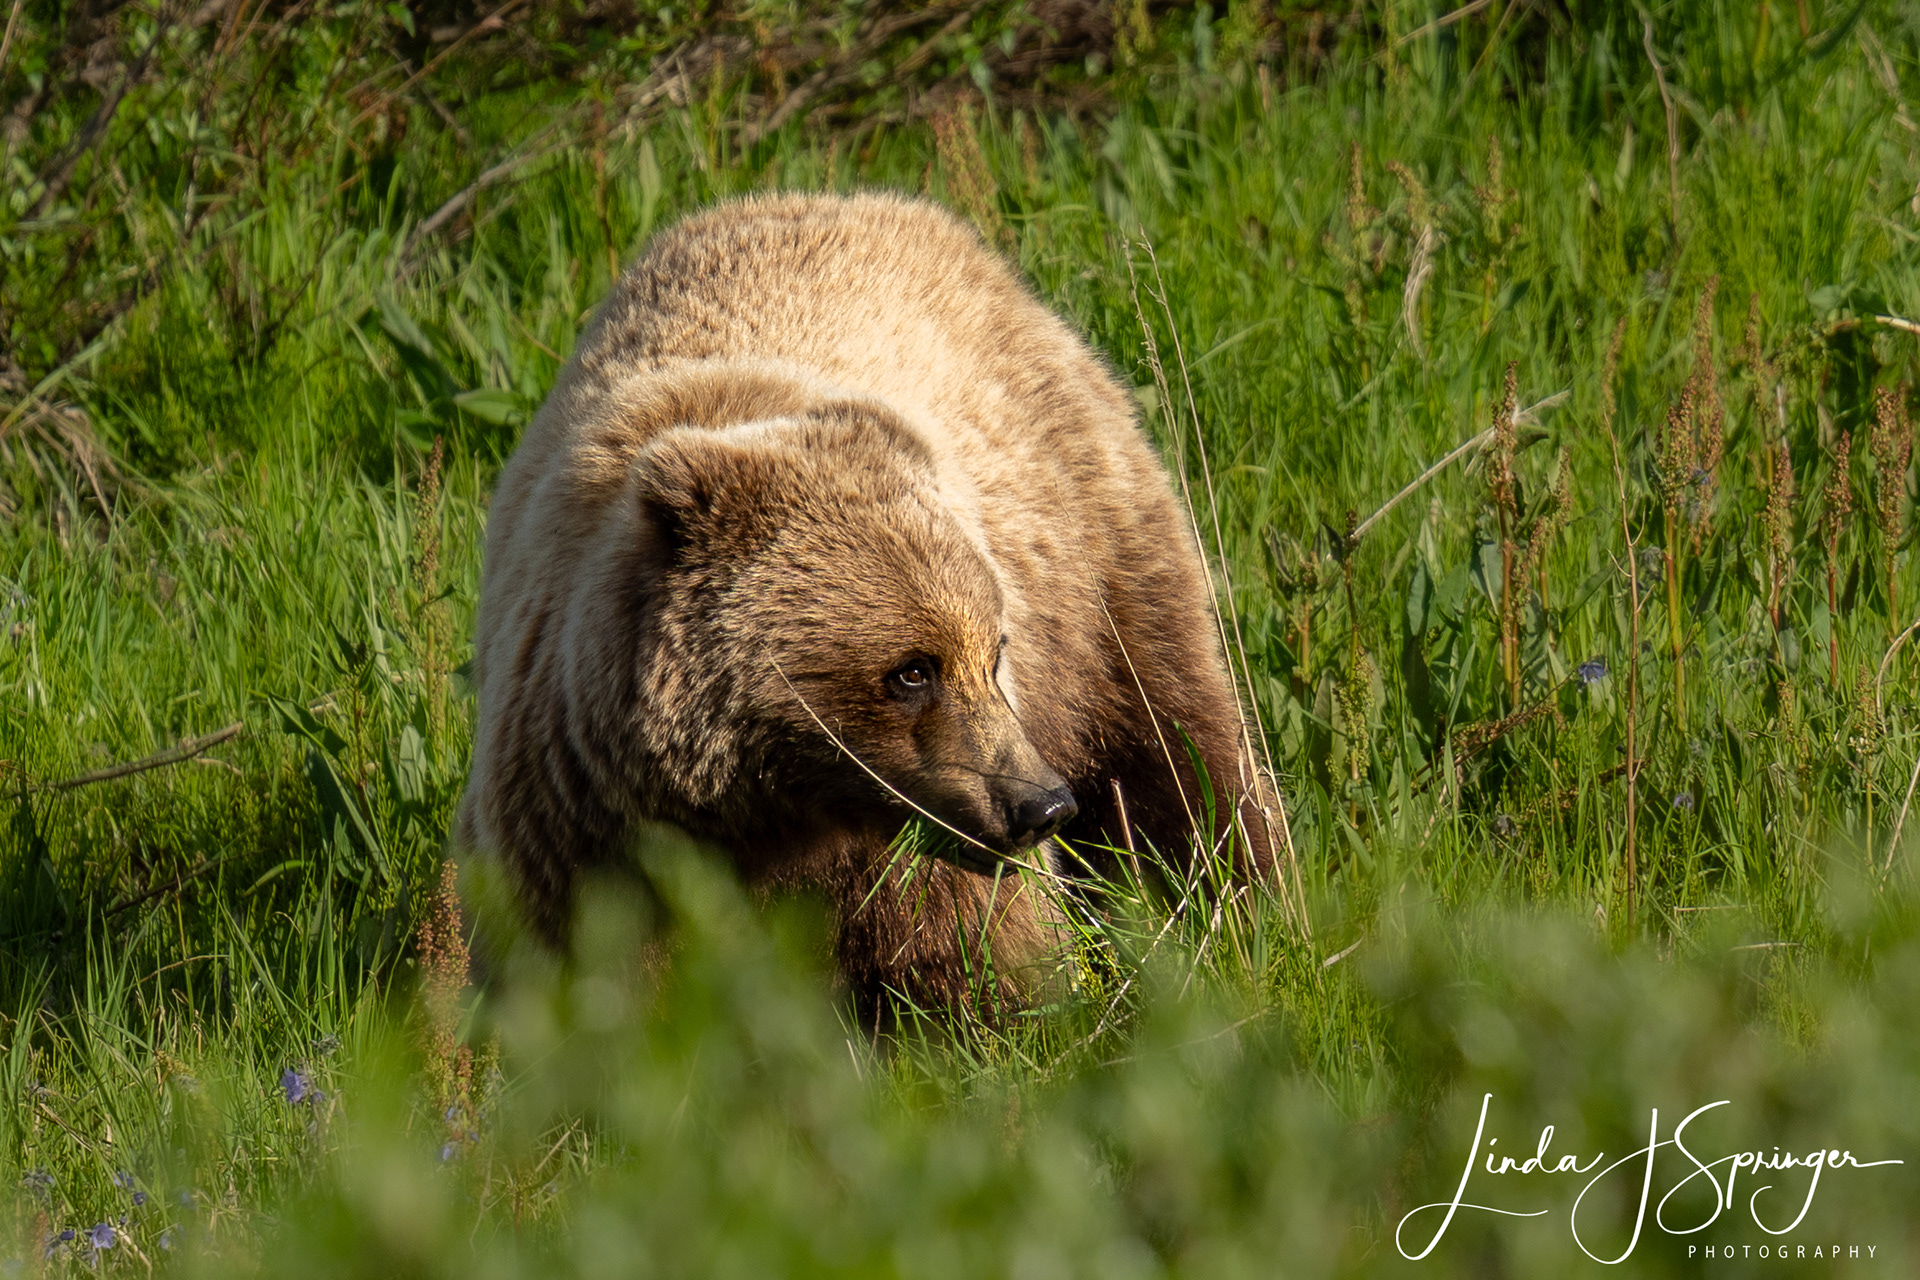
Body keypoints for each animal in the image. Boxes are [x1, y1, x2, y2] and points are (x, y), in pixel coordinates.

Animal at [457, 191, 1279, 1019]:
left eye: (995, 649)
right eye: (913, 669)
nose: (1041, 806)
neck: (773, 807)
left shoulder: (912, 830)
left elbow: (970, 947)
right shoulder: (584, 823)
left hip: (1096, 558)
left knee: (1176, 744)